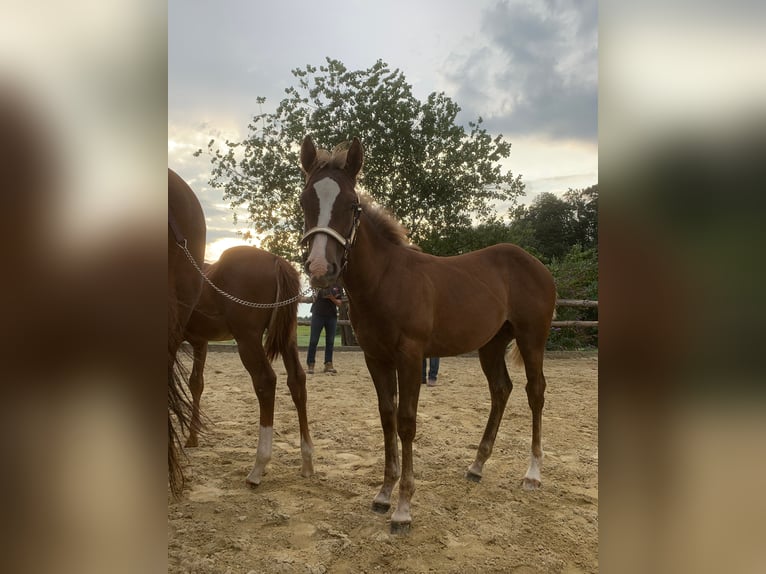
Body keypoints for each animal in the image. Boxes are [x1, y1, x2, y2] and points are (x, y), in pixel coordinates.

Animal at [184, 248, 314, 486]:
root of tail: (276, 260)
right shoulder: (200, 343)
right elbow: (196, 384)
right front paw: (192, 437)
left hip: (248, 339)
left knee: (266, 381)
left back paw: (258, 467)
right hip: (287, 338)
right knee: (297, 381)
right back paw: (307, 460)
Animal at [300, 137, 560, 532]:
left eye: (352, 205)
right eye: (305, 202)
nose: (319, 269)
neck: (385, 280)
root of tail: (535, 264)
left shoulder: (410, 357)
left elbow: (407, 421)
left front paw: (403, 509)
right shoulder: (375, 357)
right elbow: (387, 416)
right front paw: (383, 494)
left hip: (532, 339)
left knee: (535, 392)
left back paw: (532, 474)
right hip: (491, 345)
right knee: (501, 390)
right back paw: (477, 465)